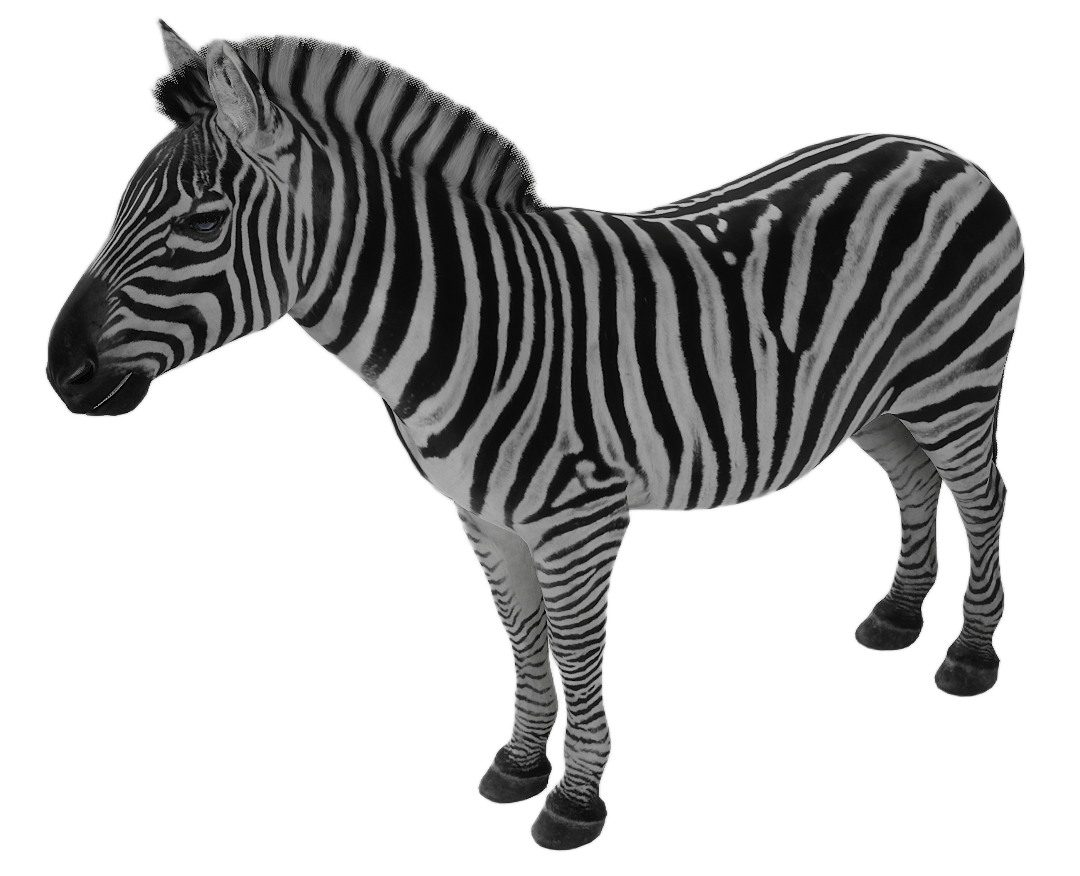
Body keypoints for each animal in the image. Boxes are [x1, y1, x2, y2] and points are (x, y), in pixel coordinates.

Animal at [44, 19, 1026, 851]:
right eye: (122, 202)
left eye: (202, 222)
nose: (61, 372)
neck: (467, 319)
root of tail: (943, 151)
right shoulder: (481, 517)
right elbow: (521, 637)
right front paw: (519, 765)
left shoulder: (581, 519)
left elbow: (578, 648)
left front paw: (574, 801)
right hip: (879, 402)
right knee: (914, 483)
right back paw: (897, 616)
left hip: (956, 384)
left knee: (984, 497)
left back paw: (970, 655)